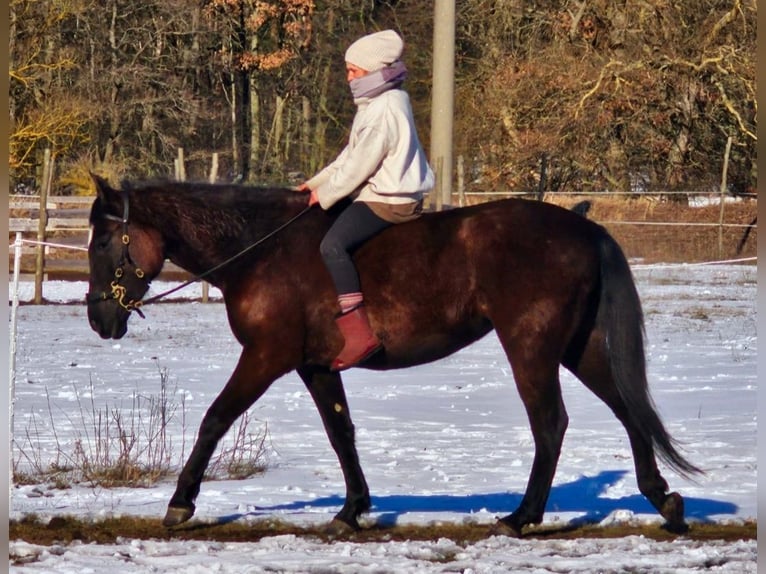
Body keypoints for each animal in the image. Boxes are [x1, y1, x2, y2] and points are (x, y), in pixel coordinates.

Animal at [84, 177, 704, 540]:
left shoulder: (266, 356)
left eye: (104, 242)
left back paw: (524, 516)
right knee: (628, 411)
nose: (98, 319)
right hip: (580, 347)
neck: (260, 250)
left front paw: (180, 503)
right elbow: (342, 433)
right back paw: (663, 500)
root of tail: (582, 225)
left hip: (530, 346)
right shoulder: (314, 367)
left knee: (551, 423)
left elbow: (215, 419)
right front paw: (352, 508)